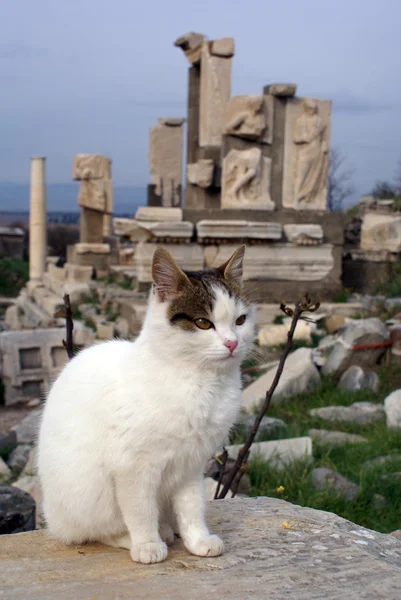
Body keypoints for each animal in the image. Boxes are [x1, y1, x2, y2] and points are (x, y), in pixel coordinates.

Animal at [38, 243, 256, 564]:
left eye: (240, 321)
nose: (232, 343)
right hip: (88, 495)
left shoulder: (191, 465)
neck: (199, 381)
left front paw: (198, 540)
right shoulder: (133, 467)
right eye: (203, 323)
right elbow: (140, 511)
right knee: (94, 531)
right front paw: (147, 544)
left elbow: (192, 506)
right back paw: (135, 538)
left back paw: (168, 529)